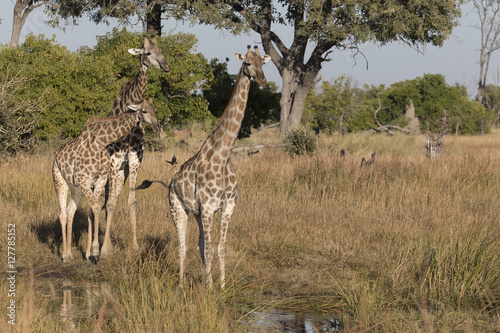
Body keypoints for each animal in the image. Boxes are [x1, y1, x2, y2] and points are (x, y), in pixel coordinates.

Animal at [52, 98, 160, 262]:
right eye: (144, 111)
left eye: (155, 110)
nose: (157, 126)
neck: (101, 142)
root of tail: (56, 155)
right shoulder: (85, 178)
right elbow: (98, 208)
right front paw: (98, 251)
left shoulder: (100, 179)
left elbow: (95, 209)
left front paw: (93, 252)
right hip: (60, 181)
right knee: (62, 213)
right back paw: (64, 255)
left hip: (76, 188)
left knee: (71, 211)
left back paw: (70, 253)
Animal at [100, 35, 169, 255]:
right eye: (147, 52)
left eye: (161, 50)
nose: (166, 66)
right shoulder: (115, 160)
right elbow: (111, 203)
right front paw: (104, 250)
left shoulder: (134, 161)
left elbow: (132, 202)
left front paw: (135, 246)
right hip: (109, 169)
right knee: (106, 199)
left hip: (123, 171)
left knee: (112, 198)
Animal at [168, 45, 270, 286]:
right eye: (247, 63)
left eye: (263, 63)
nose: (262, 80)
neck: (223, 155)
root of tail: (171, 182)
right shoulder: (207, 206)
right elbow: (209, 250)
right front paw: (210, 288)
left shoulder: (227, 207)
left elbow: (220, 248)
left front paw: (221, 287)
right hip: (178, 209)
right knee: (182, 247)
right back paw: (181, 285)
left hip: (196, 213)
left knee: (198, 245)